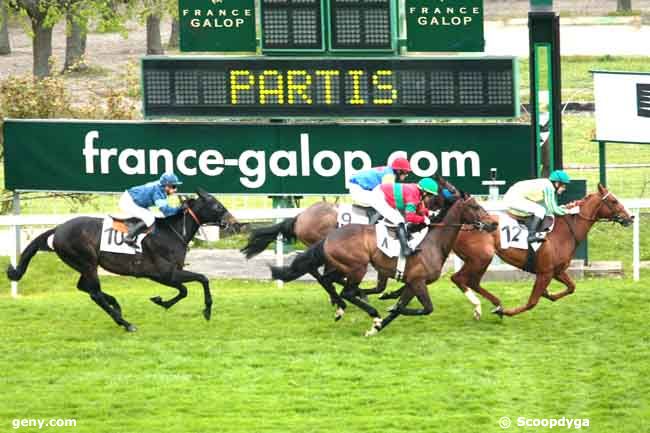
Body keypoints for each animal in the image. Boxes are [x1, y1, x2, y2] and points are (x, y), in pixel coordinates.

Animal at [5, 189, 243, 330]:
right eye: (217, 206)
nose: (235, 222)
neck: (172, 232)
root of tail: (57, 229)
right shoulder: (164, 273)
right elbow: (202, 279)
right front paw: (207, 311)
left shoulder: (165, 275)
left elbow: (183, 290)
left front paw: (161, 301)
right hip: (87, 263)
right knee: (94, 293)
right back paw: (124, 322)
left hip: (85, 265)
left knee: (86, 288)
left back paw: (117, 306)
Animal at [266, 194, 494, 336]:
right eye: (475, 206)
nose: (493, 223)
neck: (432, 242)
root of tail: (329, 237)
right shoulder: (418, 281)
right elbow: (422, 308)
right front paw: (382, 315)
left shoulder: (412, 283)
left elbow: (400, 306)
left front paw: (377, 327)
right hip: (357, 267)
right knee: (346, 290)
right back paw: (370, 313)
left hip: (342, 266)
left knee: (328, 280)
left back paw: (341, 306)